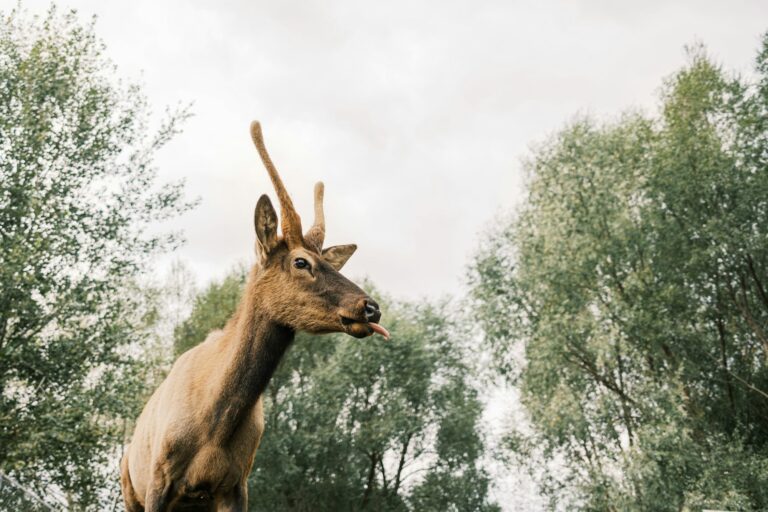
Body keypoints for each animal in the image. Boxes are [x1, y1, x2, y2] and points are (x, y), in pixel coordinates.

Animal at [120, 122, 390, 510]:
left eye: (327, 262)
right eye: (301, 262)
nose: (371, 307)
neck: (214, 426)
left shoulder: (235, 484)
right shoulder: (159, 480)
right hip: (130, 488)